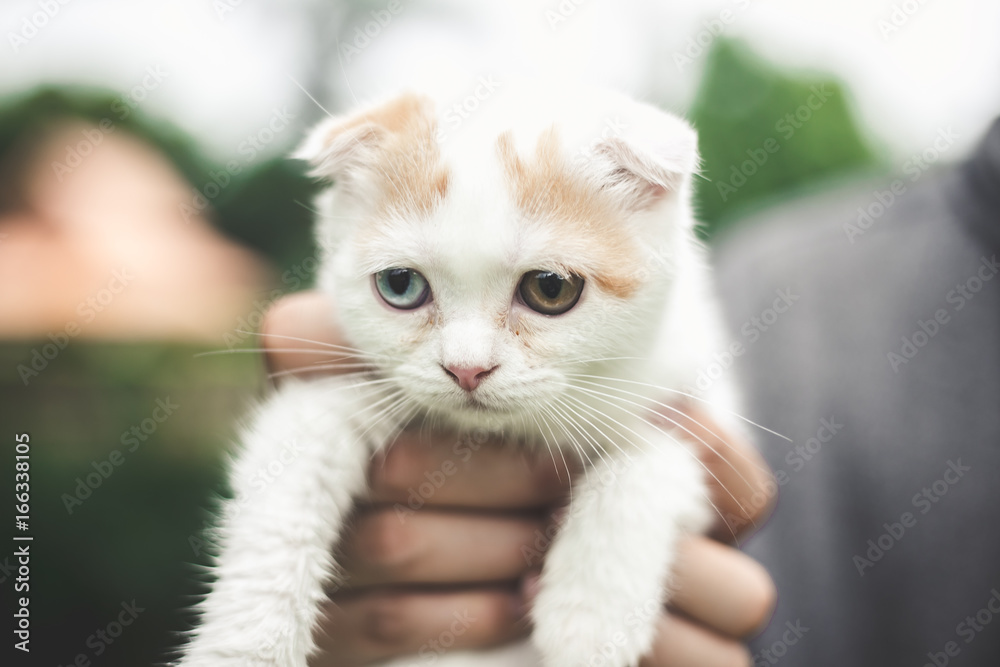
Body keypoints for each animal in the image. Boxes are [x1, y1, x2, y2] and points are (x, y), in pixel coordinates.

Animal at [178, 81, 744, 664]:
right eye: (400, 284)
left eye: (551, 288)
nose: (467, 369)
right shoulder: (326, 389)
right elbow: (282, 499)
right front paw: (244, 645)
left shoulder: (695, 391)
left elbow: (657, 457)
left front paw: (589, 618)